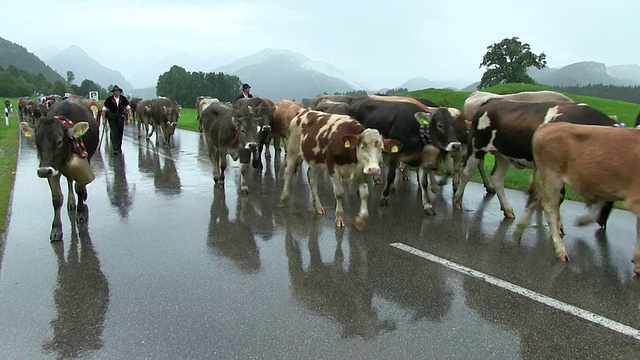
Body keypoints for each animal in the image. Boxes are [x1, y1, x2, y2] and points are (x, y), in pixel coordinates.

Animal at [512, 122, 640, 274]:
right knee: (549, 208)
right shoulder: (635, 200)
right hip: (552, 177)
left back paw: (519, 231)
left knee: (537, 197)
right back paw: (560, 250)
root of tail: (547, 125)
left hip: (549, 181)